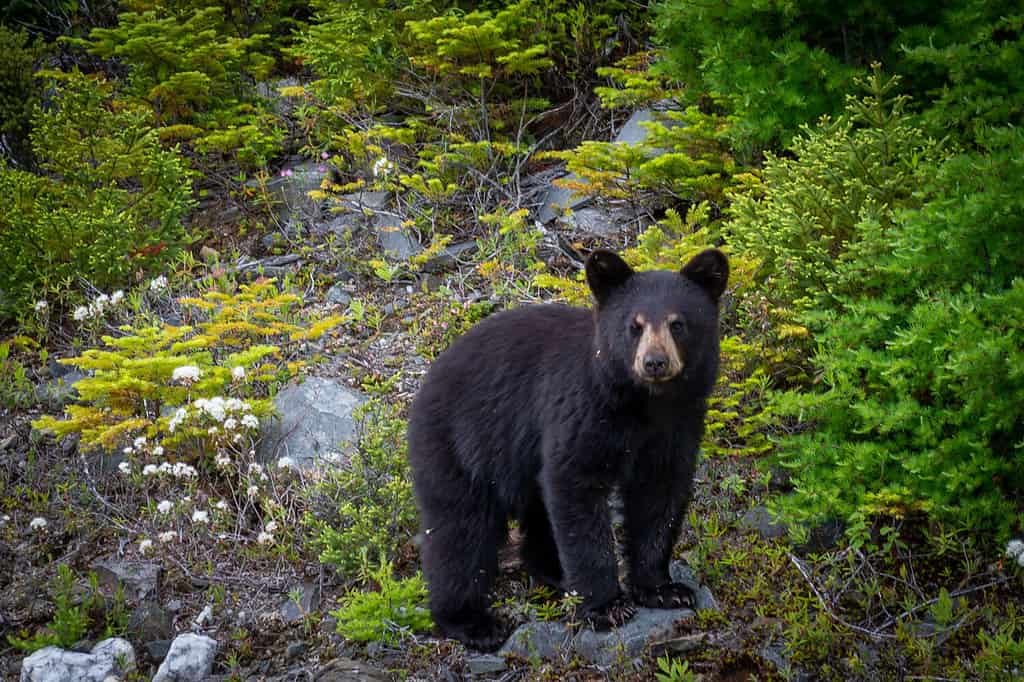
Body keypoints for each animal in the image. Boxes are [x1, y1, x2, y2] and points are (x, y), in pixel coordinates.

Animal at [407, 248, 728, 651]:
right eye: (634, 325)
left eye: (678, 324)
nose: (654, 362)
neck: (643, 404)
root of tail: (426, 381)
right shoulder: (583, 411)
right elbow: (576, 487)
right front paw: (606, 606)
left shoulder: (677, 425)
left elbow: (659, 497)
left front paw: (663, 588)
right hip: (460, 446)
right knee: (460, 531)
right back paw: (471, 621)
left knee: (535, 511)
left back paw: (553, 572)